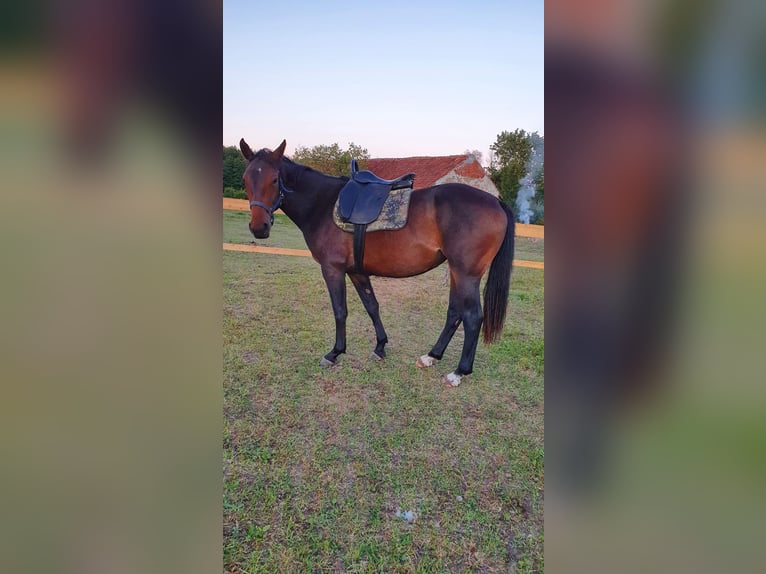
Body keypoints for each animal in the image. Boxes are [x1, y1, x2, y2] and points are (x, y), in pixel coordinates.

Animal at [240, 140, 516, 388]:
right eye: (245, 179)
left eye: (274, 180)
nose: (259, 227)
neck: (323, 204)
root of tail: (495, 201)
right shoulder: (357, 272)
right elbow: (372, 306)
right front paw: (380, 347)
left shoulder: (332, 269)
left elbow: (340, 310)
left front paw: (335, 352)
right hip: (457, 273)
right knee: (454, 313)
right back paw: (431, 356)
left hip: (466, 274)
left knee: (472, 317)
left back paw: (458, 372)